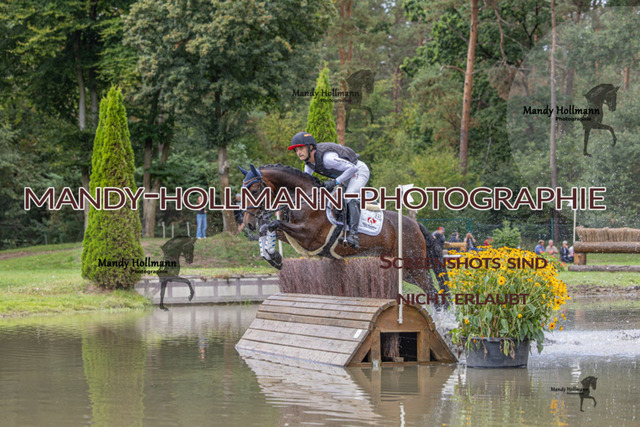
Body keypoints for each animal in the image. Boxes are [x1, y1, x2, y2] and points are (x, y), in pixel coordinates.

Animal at [238, 164, 450, 308]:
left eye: (255, 190)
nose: (248, 223)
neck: (305, 198)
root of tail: (416, 225)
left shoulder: (309, 236)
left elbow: (272, 224)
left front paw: (273, 256)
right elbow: (267, 228)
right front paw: (273, 257)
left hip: (414, 266)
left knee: (434, 294)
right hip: (405, 270)